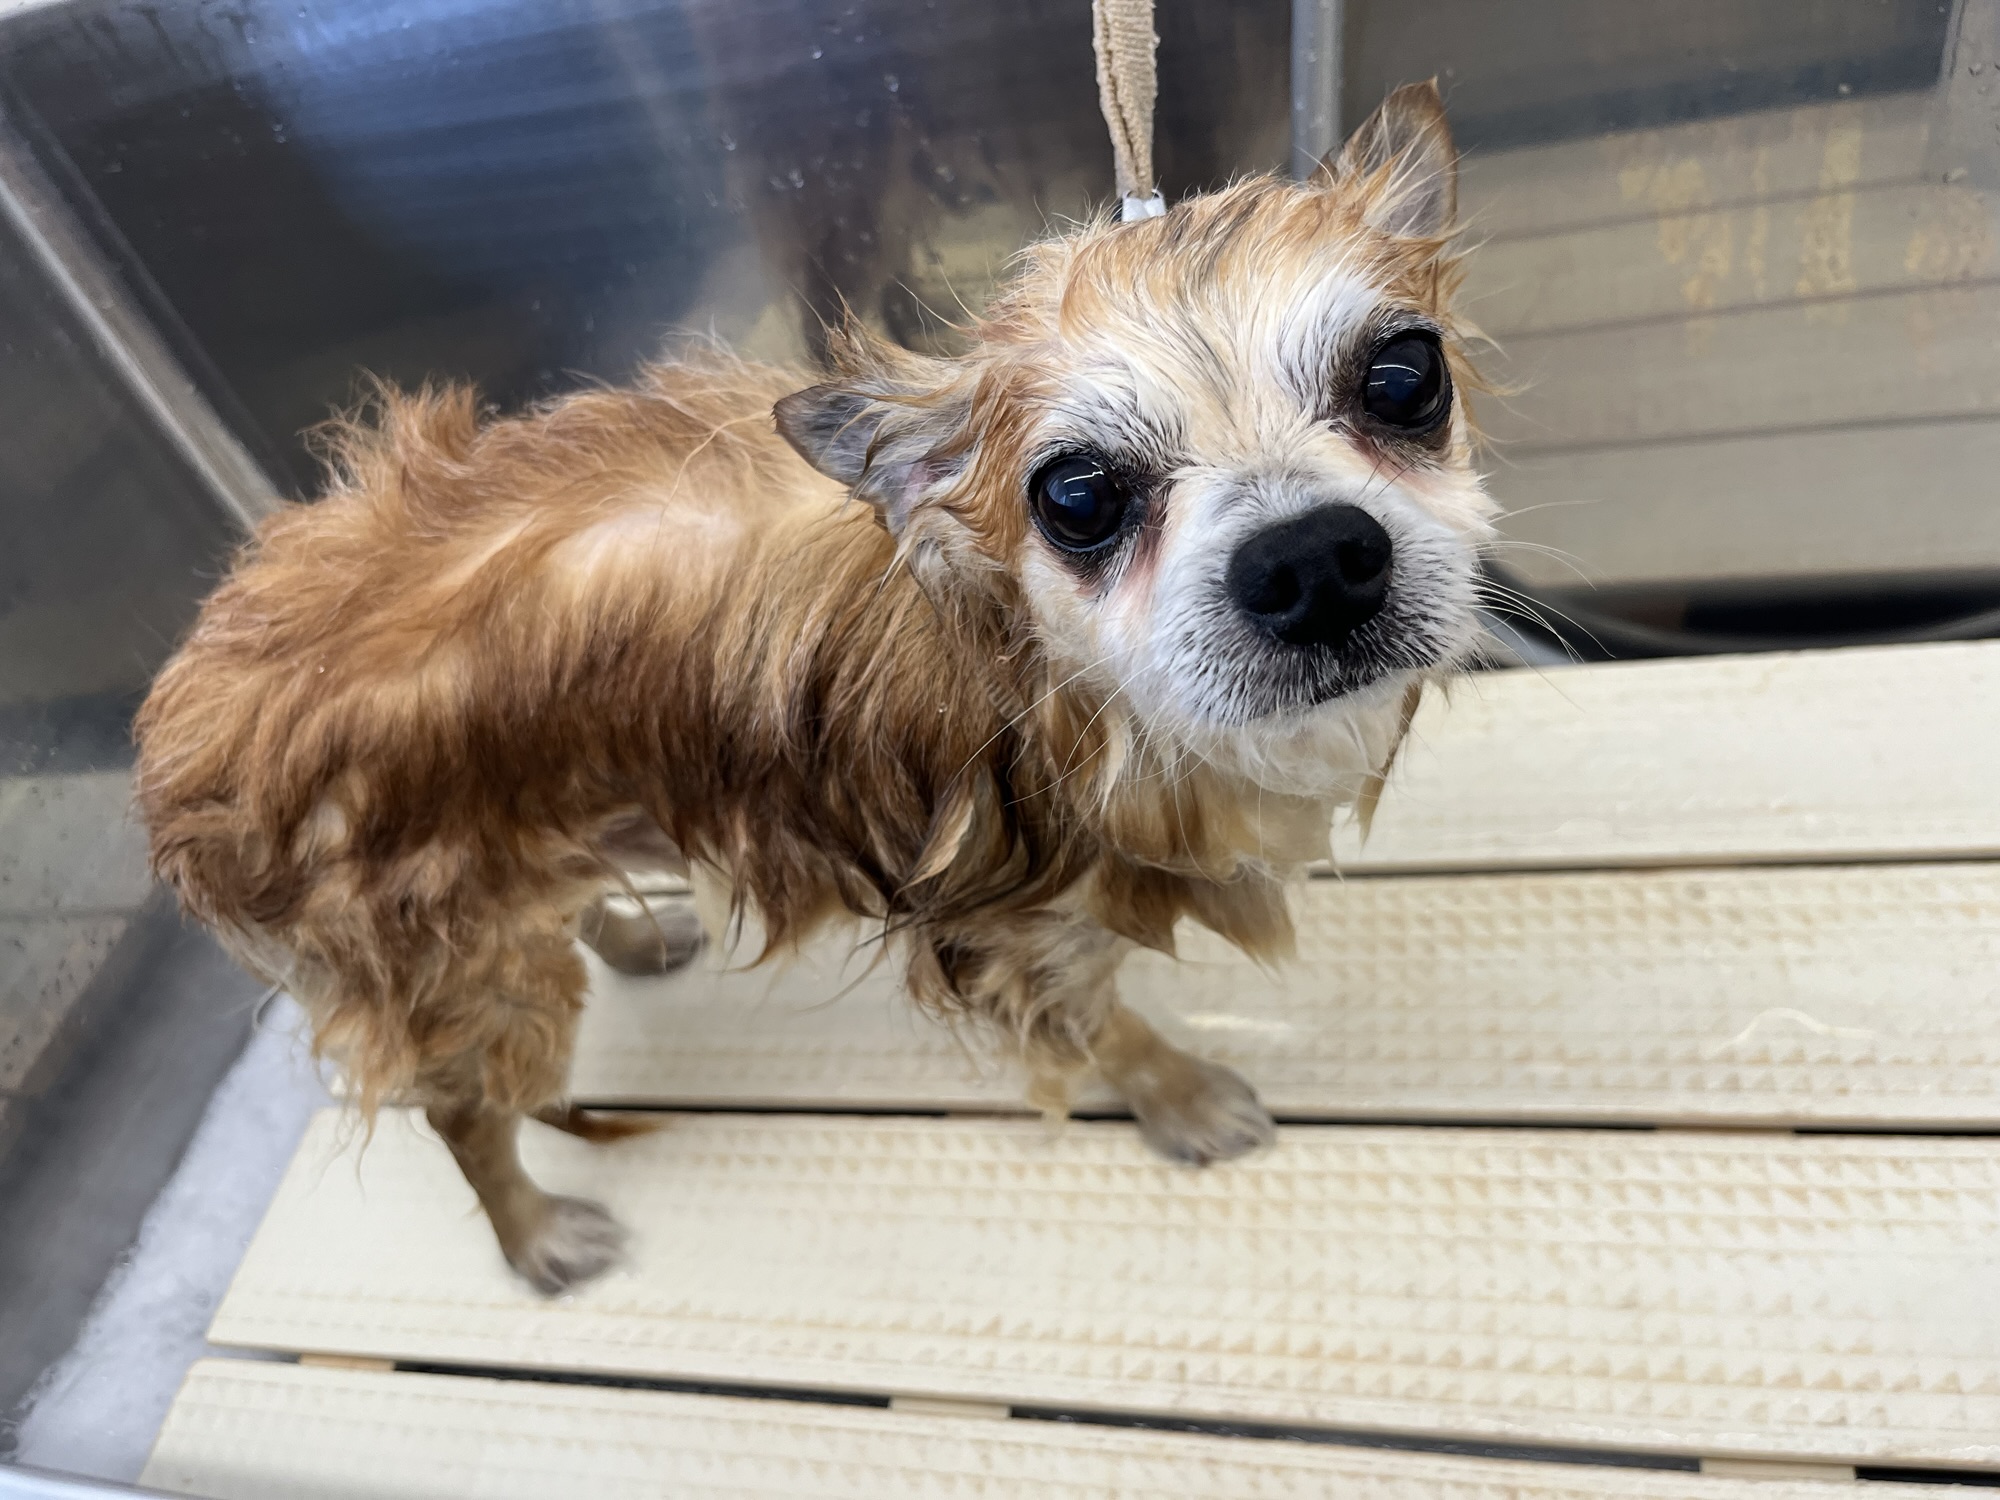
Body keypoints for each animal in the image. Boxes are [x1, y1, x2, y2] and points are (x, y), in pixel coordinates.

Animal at [135, 82, 1492, 1294]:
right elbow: (1103, 1025)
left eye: (1401, 378)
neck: (1065, 683)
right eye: (1077, 497)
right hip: (455, 960)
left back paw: (633, 933)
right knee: (468, 1118)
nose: (1309, 561)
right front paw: (1183, 1097)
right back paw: (537, 1238)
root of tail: (188, 713)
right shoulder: (1019, 922)